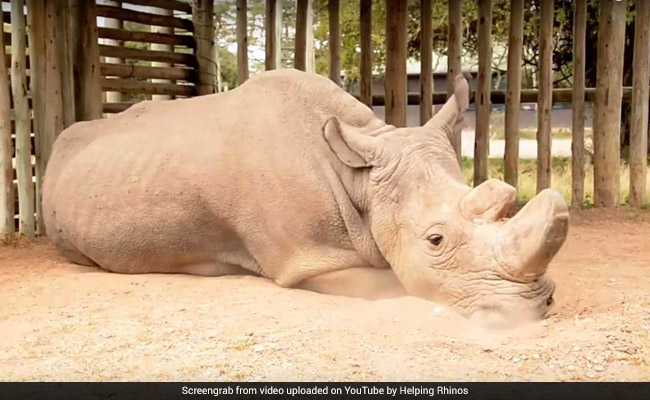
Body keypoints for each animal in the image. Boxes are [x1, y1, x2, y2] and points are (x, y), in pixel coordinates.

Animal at [43, 69, 568, 323]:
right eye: (435, 241)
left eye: (506, 197)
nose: (538, 306)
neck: (360, 178)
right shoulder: (308, 260)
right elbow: (397, 284)